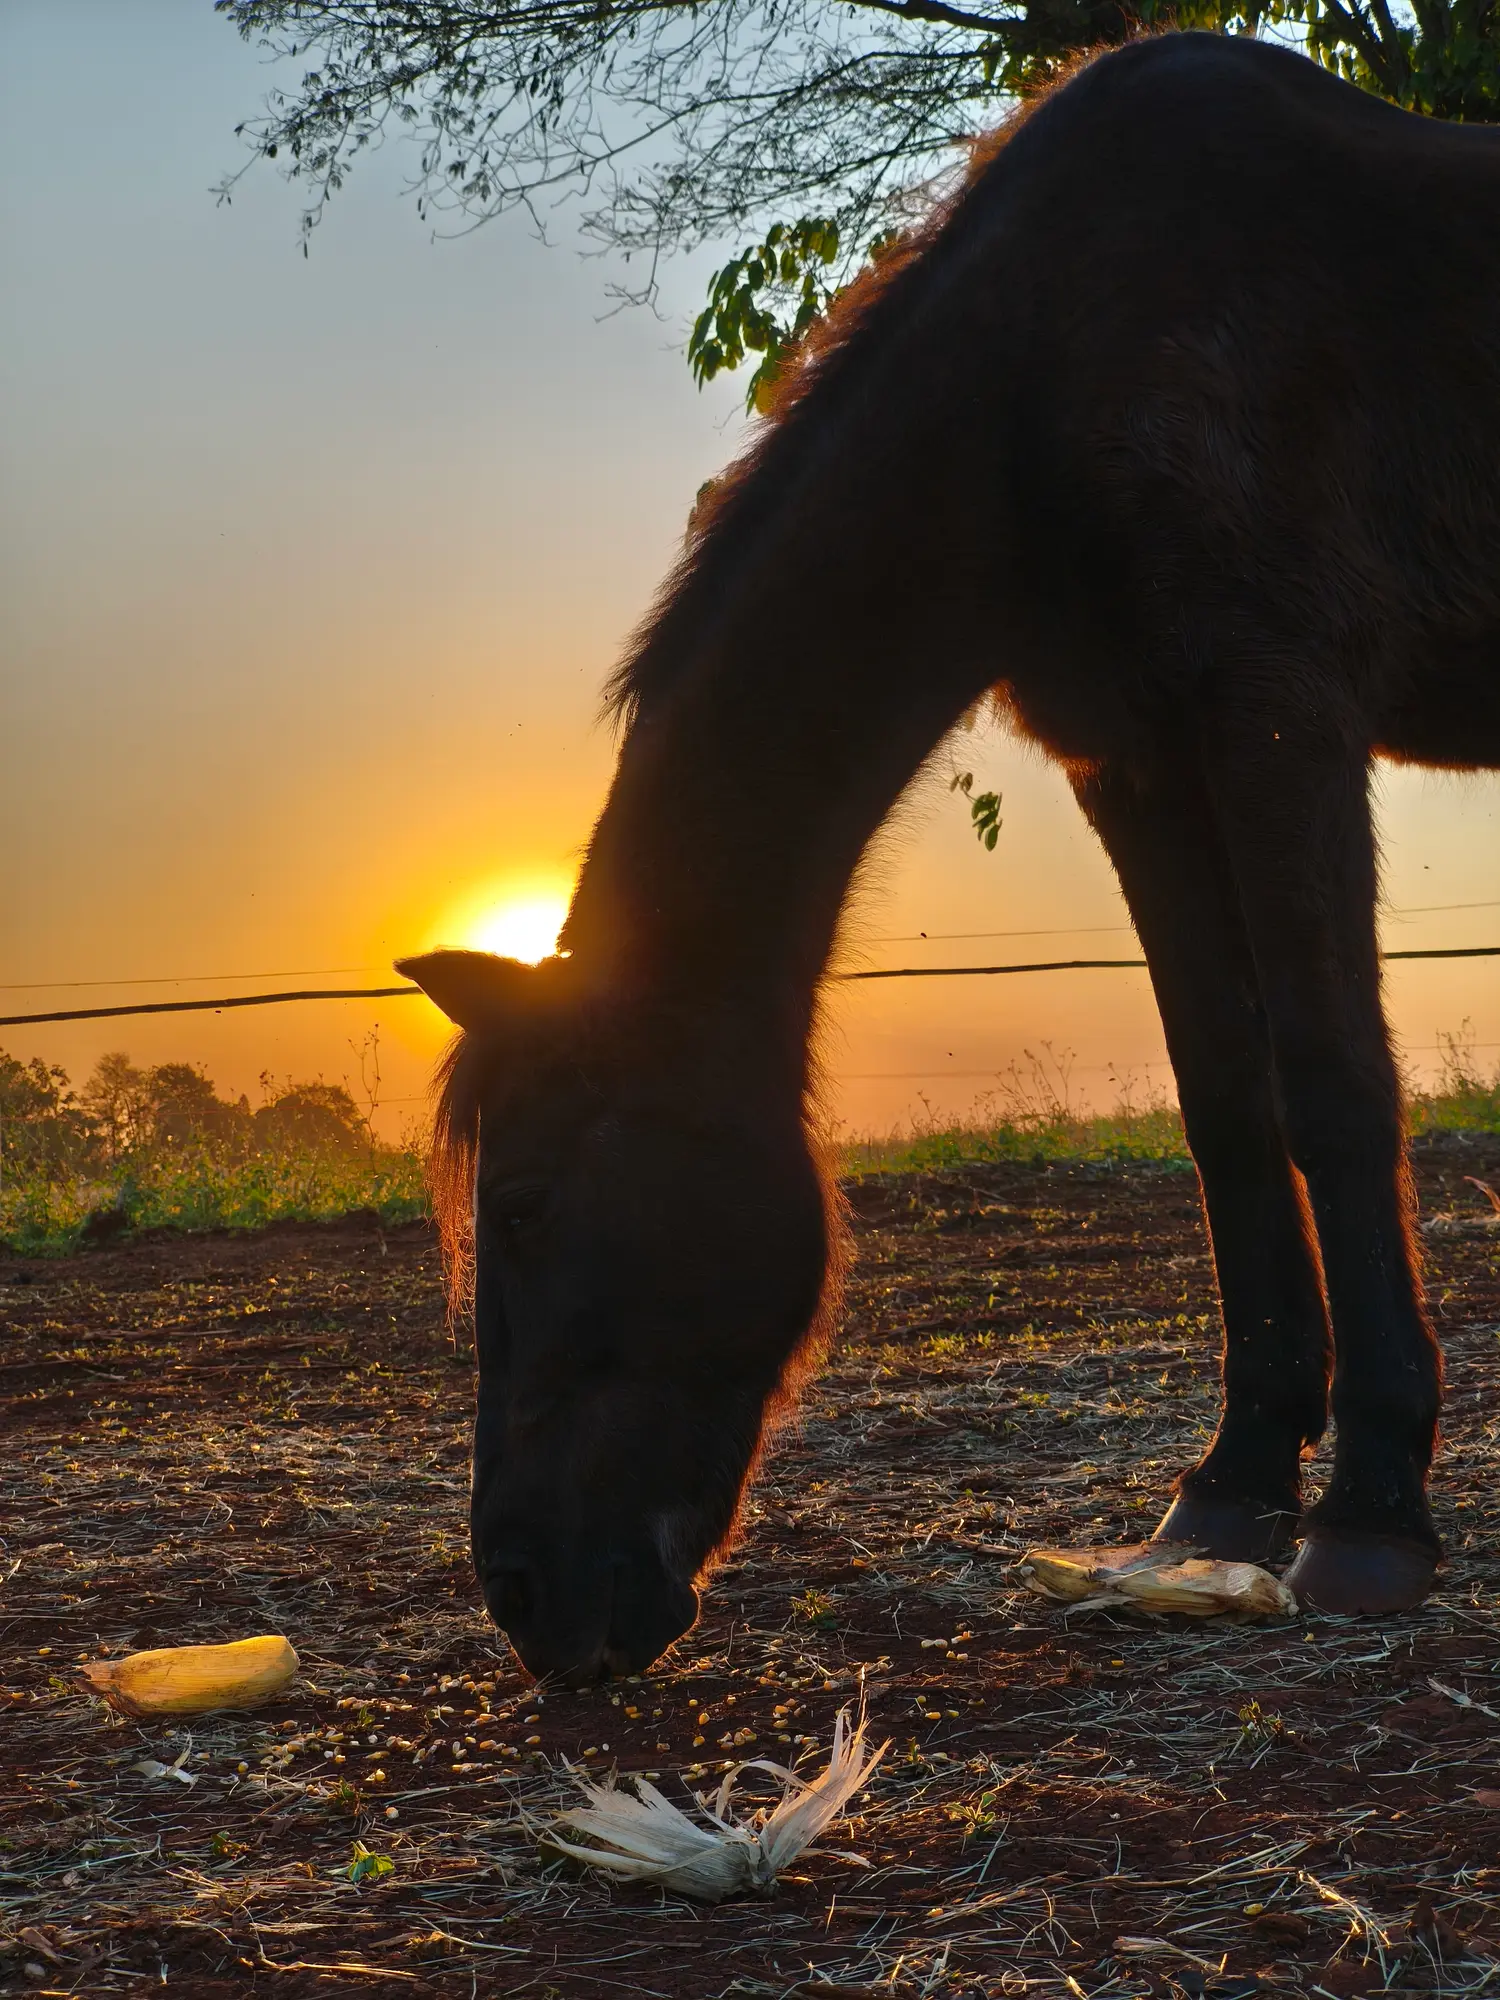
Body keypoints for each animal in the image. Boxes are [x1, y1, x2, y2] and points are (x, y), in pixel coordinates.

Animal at [398, 28, 1500, 1684]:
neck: (1050, 362)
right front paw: (1232, 1491)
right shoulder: (1140, 761)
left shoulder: (1278, 714)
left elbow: (1332, 1087)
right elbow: (1226, 1107)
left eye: (523, 1209)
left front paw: (1371, 1508)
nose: (527, 1597)